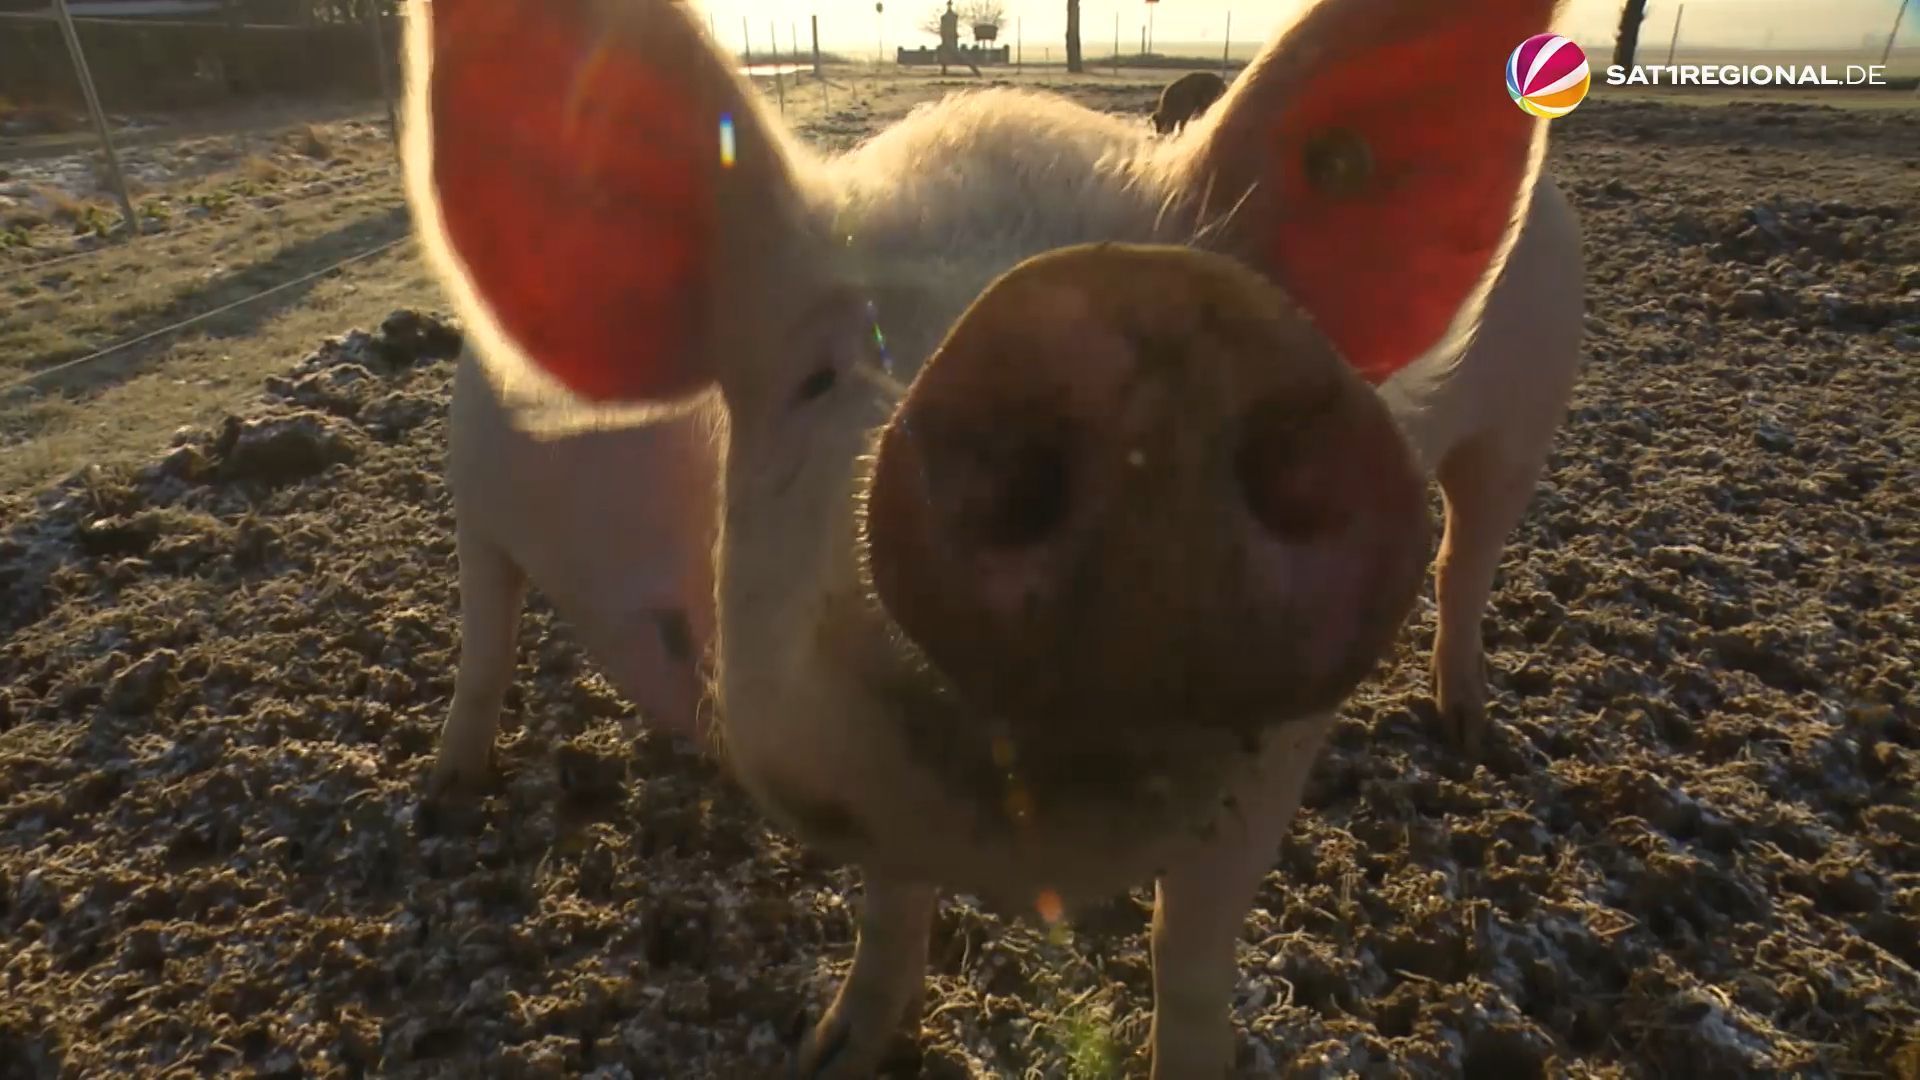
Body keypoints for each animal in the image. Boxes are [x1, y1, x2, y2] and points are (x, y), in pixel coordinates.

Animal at [405, 0, 1589, 1068]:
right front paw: (834, 1051)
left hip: (1526, 423)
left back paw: (1471, 730)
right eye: (815, 375)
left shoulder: (1276, 766)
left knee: (1468, 555)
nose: (1121, 313)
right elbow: (891, 903)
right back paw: (442, 794)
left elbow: (1190, 959)